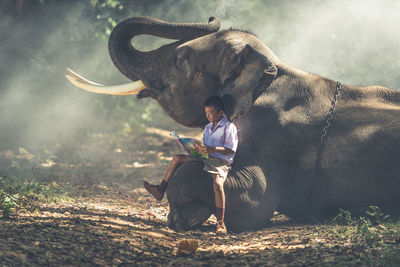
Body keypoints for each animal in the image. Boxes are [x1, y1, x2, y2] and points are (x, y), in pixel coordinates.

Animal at [65, 16, 400, 232]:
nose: (213, 17)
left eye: (181, 60)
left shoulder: (272, 133)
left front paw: (183, 219)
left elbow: (257, 197)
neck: (272, 70)